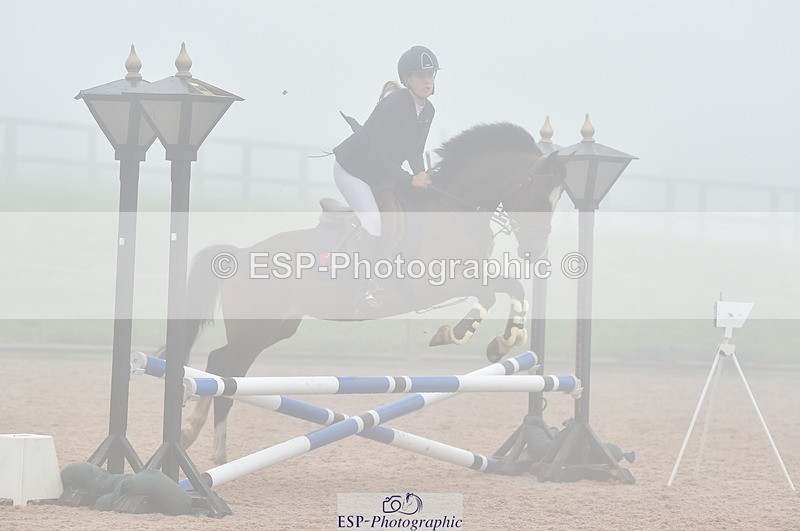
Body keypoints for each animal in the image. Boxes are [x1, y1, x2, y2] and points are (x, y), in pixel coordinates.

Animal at [176, 122, 567, 464]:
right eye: (539, 197)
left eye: (558, 200)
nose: (535, 252)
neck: (452, 210)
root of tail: (240, 254)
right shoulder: (437, 282)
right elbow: (495, 292)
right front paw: (468, 336)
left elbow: (508, 289)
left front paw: (493, 341)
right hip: (255, 328)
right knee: (228, 375)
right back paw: (216, 453)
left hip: (277, 327)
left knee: (221, 364)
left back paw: (192, 433)